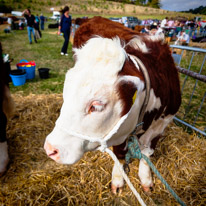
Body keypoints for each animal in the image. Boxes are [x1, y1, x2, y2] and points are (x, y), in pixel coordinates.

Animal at [44, 16, 181, 193]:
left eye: (96, 106)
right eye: (65, 93)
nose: (50, 148)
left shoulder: (161, 126)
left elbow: (147, 155)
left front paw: (146, 179)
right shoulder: (119, 132)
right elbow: (121, 157)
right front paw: (118, 180)